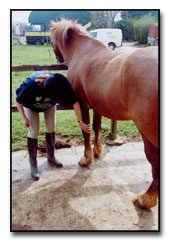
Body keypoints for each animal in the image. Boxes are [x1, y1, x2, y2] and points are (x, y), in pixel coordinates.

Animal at [49, 19, 159, 209]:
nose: (58, 58)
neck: (82, 51)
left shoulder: (83, 104)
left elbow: (85, 129)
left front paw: (86, 159)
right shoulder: (97, 105)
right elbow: (96, 126)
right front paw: (97, 151)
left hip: (148, 133)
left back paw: (146, 199)